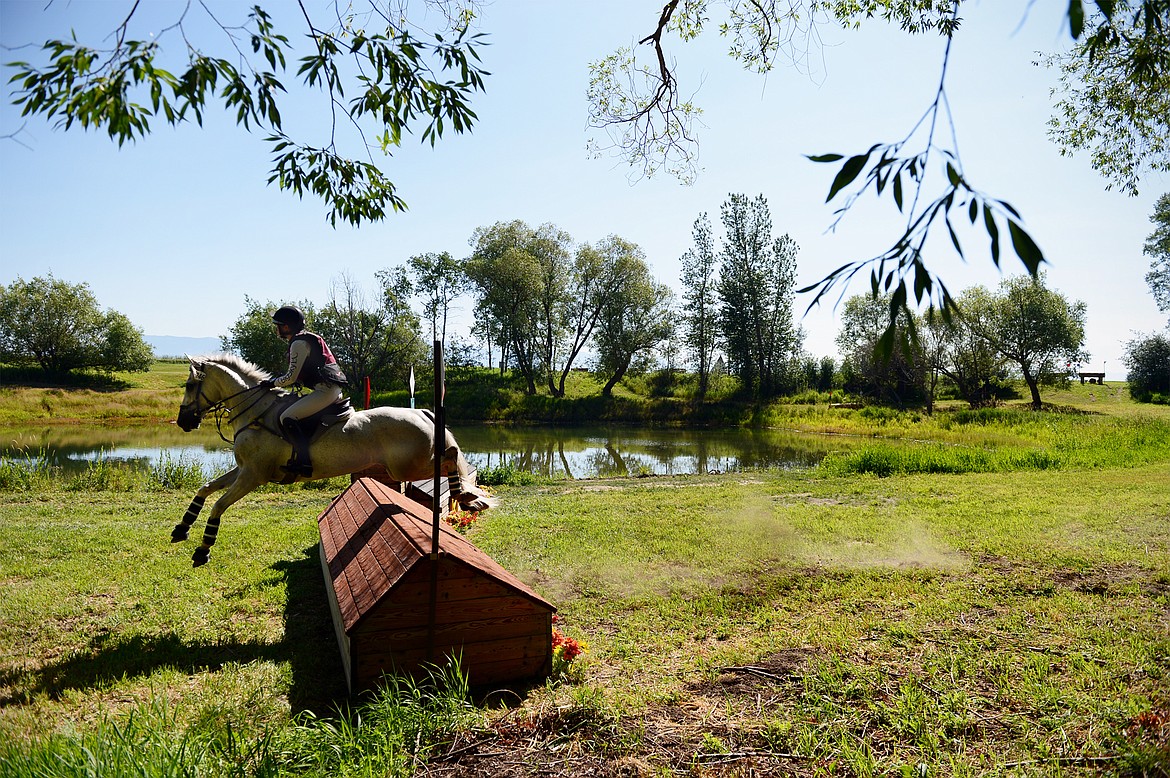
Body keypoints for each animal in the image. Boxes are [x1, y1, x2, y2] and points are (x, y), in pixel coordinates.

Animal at [170, 350, 491, 563]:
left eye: (189, 386)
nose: (184, 422)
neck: (254, 413)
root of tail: (422, 412)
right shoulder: (243, 470)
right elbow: (205, 489)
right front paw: (181, 528)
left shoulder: (253, 476)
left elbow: (219, 505)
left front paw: (203, 549)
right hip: (408, 466)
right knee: (449, 457)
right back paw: (464, 495)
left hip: (408, 467)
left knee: (450, 456)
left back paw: (463, 494)